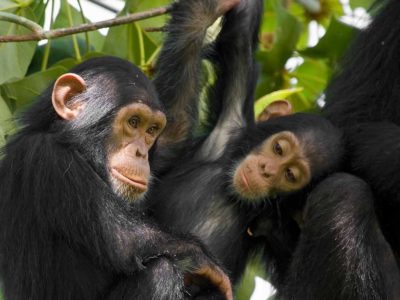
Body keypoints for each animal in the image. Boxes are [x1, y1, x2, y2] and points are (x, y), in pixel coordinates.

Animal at [0, 56, 233, 300]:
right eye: (133, 122)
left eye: (152, 129)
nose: (141, 153)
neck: (75, 147)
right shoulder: (50, 160)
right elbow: (124, 241)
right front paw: (204, 260)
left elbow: (175, 133)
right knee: (161, 271)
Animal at [148, 0, 342, 286]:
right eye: (278, 149)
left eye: (290, 174)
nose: (267, 170)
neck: (232, 193)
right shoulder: (230, 119)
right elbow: (239, 40)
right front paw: (210, 10)